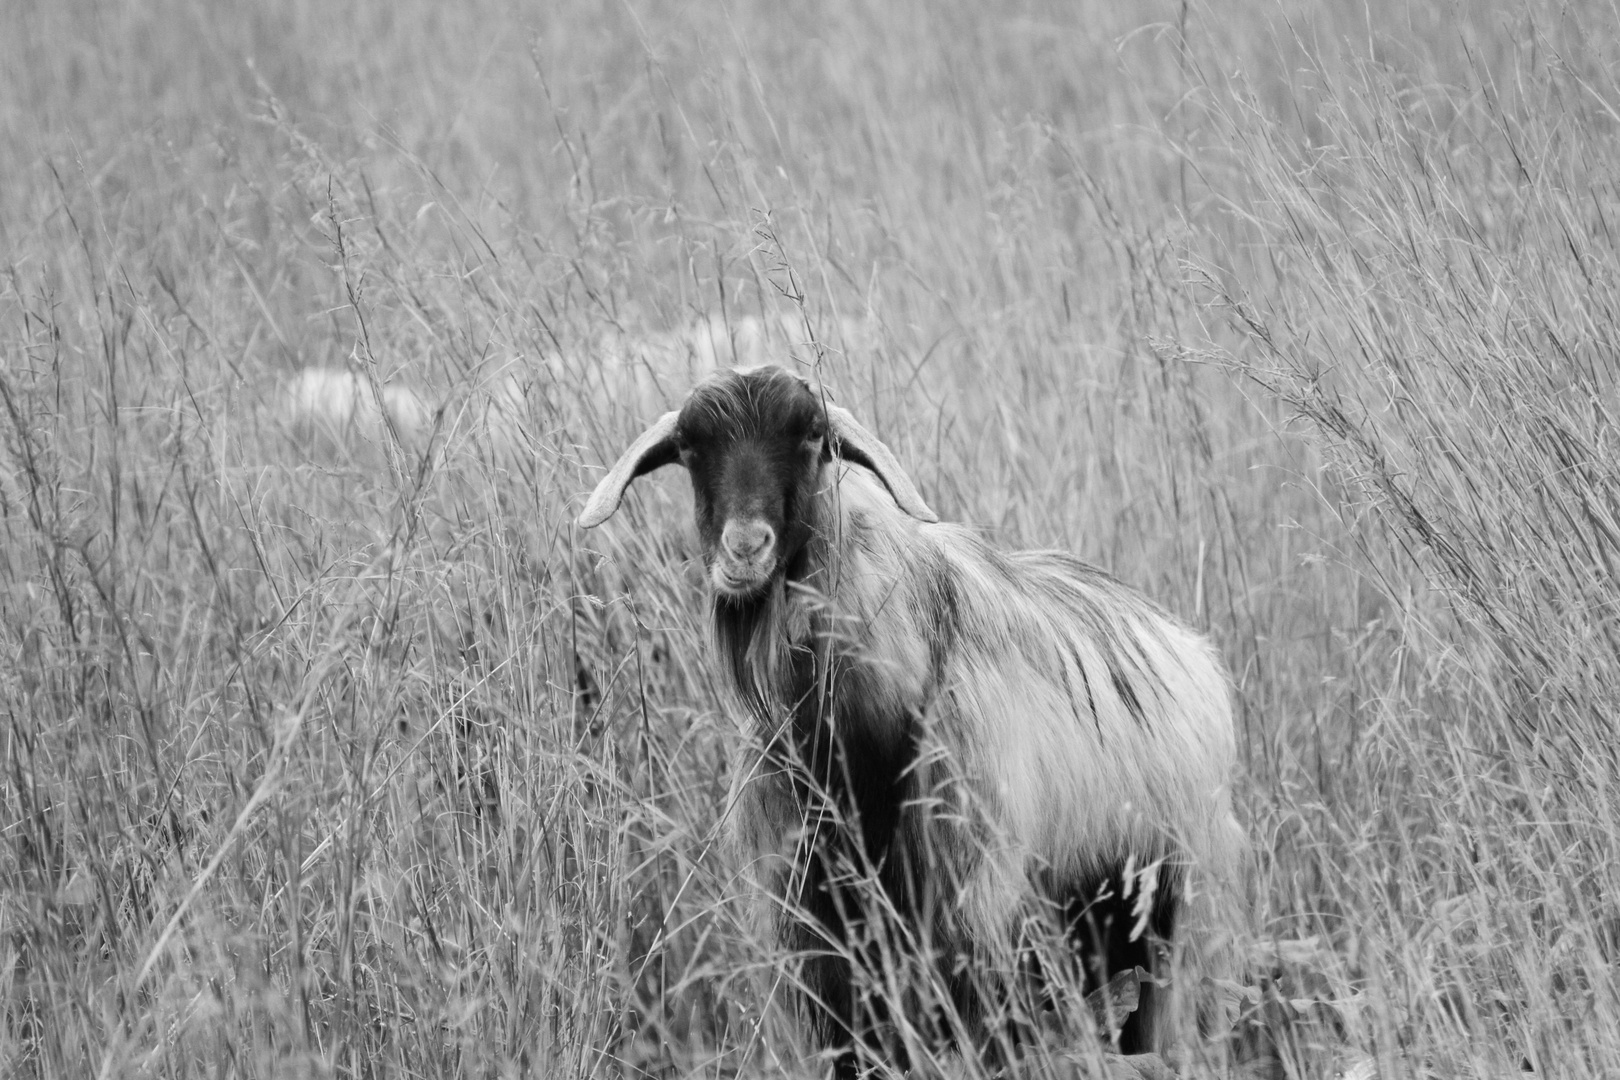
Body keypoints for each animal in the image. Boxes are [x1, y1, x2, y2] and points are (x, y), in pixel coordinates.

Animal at [576, 365, 1244, 1075]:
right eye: (690, 445)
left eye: (811, 436)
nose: (745, 549)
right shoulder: (822, 943)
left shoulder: (970, 925)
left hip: (1180, 923)